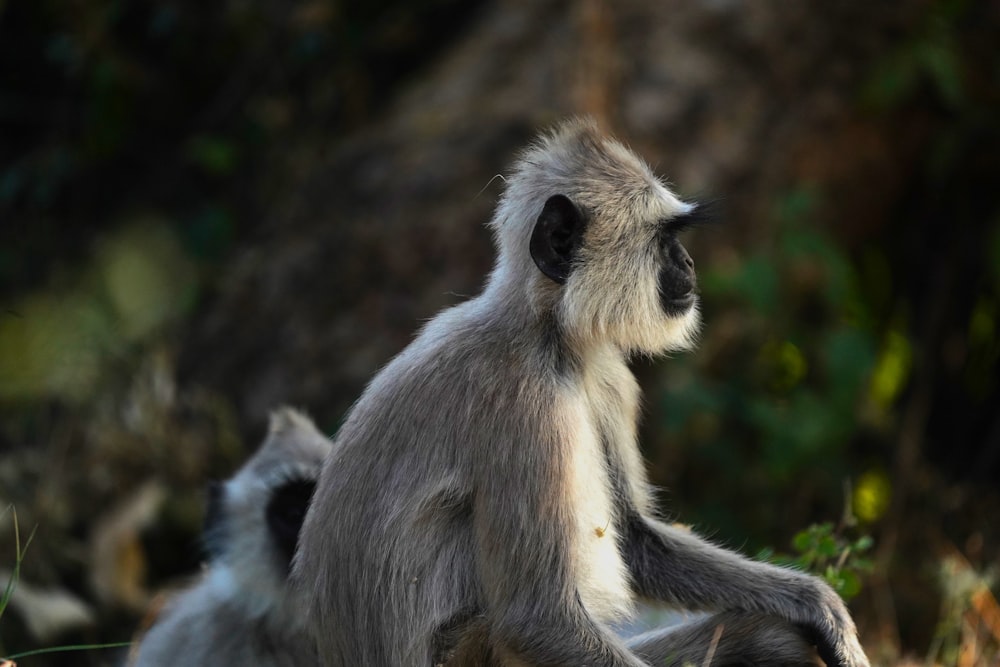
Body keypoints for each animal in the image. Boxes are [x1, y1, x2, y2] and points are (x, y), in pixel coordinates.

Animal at [292, 117, 868, 664]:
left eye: (677, 240)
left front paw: (819, 604)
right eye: (663, 241)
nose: (688, 264)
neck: (549, 338)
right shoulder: (521, 405)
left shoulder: (608, 376)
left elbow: (635, 540)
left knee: (773, 638)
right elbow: (536, 617)